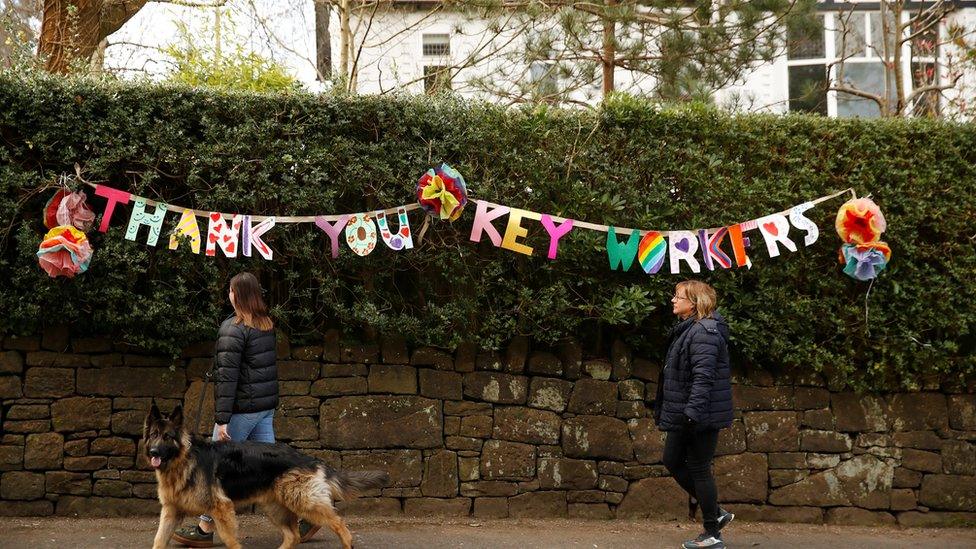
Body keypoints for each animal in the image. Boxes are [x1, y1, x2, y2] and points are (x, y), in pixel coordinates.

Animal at [145, 402, 388, 548]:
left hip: (303, 502)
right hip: (276, 507)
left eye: (167, 437)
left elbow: (230, 540)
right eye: (154, 434)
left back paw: (347, 541)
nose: (154, 452)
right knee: (293, 536)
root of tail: (309, 458)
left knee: (338, 522)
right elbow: (158, 540)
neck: (183, 460)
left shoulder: (222, 509)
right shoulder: (170, 512)